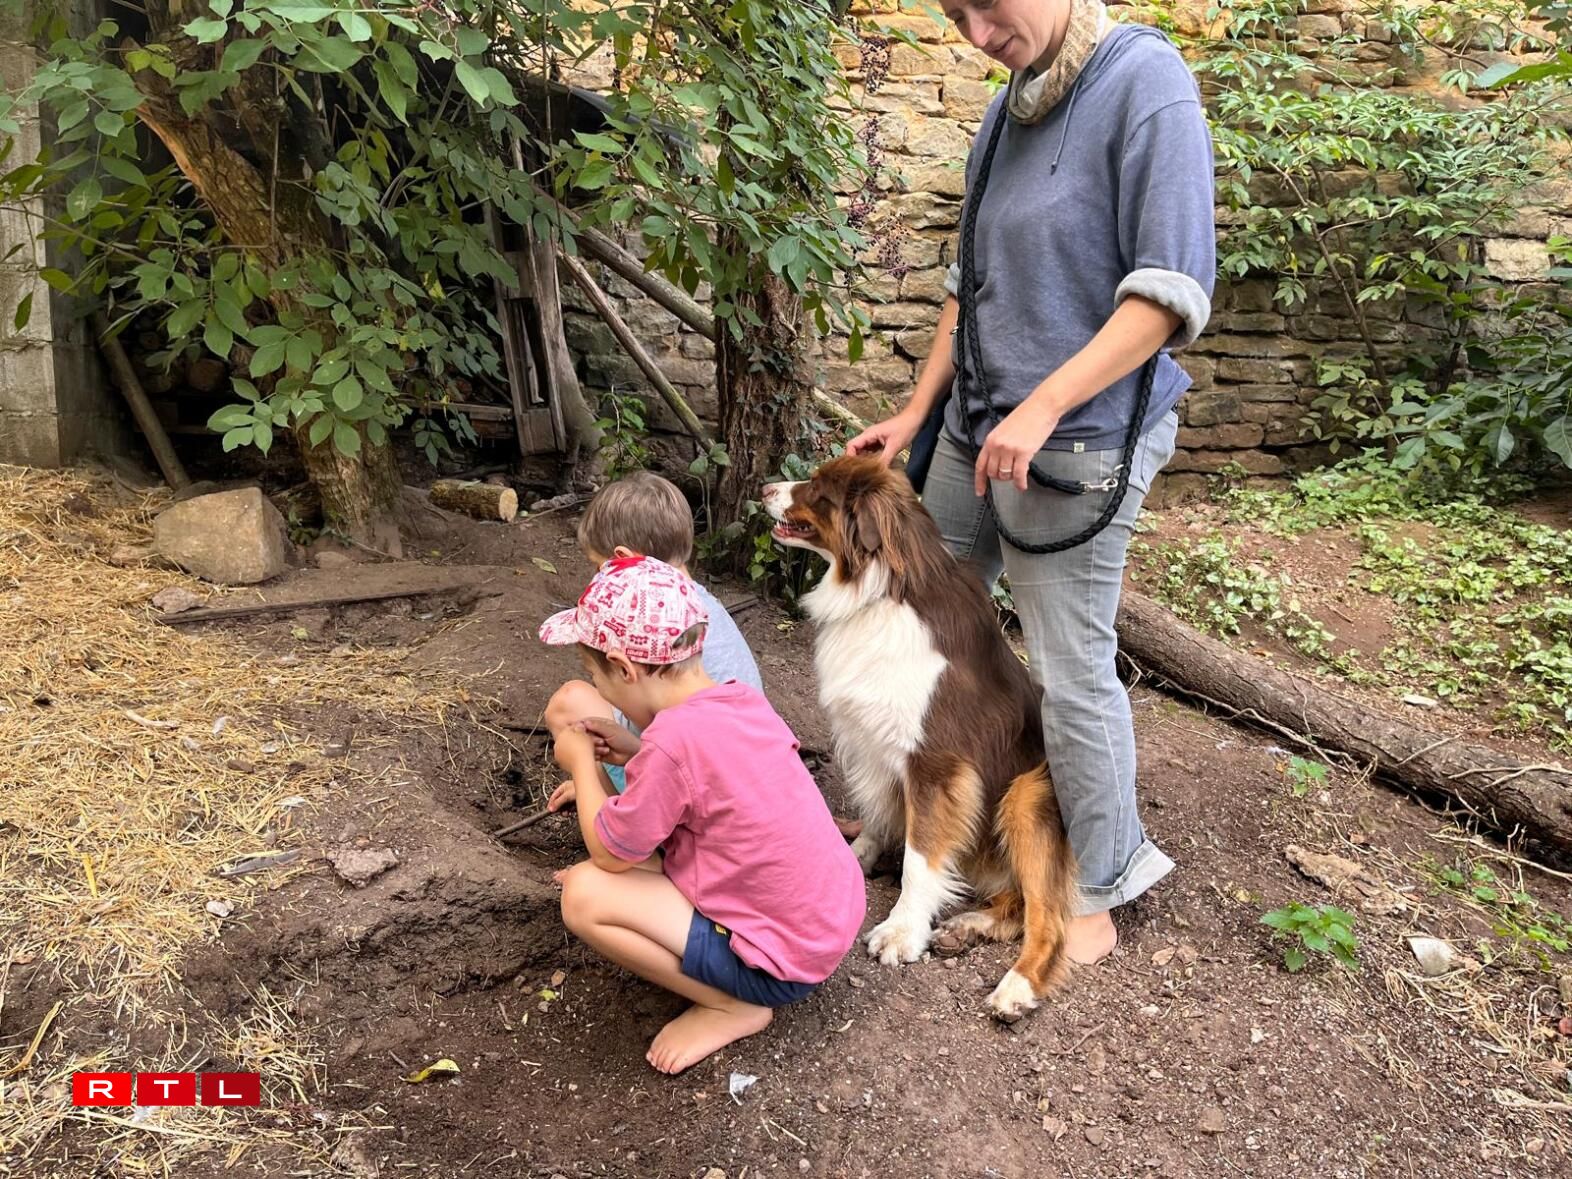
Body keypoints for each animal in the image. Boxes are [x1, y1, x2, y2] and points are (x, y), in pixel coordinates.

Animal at [763, 455, 1076, 1020]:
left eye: (817, 489)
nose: (764, 487)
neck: (882, 590)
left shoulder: (937, 765)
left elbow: (919, 857)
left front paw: (901, 931)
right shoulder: (876, 742)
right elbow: (878, 818)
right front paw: (854, 862)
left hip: (1025, 795)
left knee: (1048, 919)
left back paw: (1016, 987)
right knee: (1017, 905)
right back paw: (969, 926)